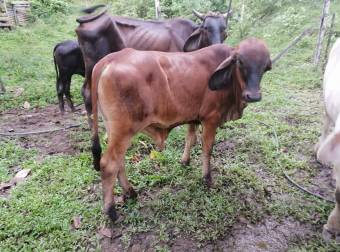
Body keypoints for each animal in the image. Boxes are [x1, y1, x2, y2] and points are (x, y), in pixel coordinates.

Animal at [90, 37, 270, 220]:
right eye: (240, 62)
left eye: (266, 66)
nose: (253, 96)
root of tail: (111, 58)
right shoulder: (211, 119)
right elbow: (207, 149)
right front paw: (207, 178)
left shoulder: (194, 118)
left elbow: (190, 138)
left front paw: (185, 161)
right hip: (123, 131)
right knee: (109, 164)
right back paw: (111, 211)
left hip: (114, 130)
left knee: (119, 162)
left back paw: (130, 192)